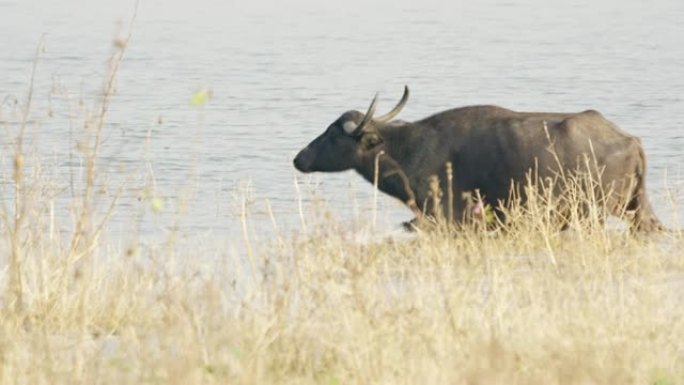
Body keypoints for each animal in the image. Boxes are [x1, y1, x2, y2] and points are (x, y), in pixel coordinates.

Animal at [292, 87, 664, 231]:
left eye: (332, 133)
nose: (299, 158)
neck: (405, 147)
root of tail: (630, 140)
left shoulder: (444, 217)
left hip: (593, 213)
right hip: (637, 210)